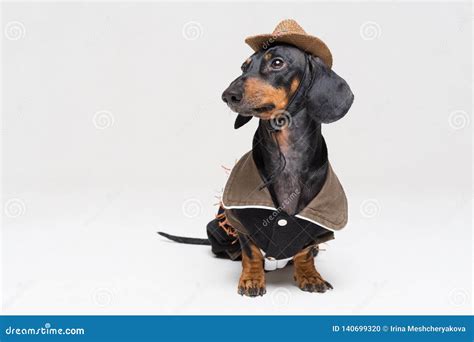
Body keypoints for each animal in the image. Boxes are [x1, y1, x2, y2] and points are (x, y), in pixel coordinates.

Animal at [159, 19, 352, 296]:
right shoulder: (241, 220)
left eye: (277, 63)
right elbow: (251, 251)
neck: (287, 155)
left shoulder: (315, 224)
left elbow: (304, 251)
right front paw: (251, 279)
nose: (228, 95)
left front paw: (309, 275)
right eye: (244, 66)